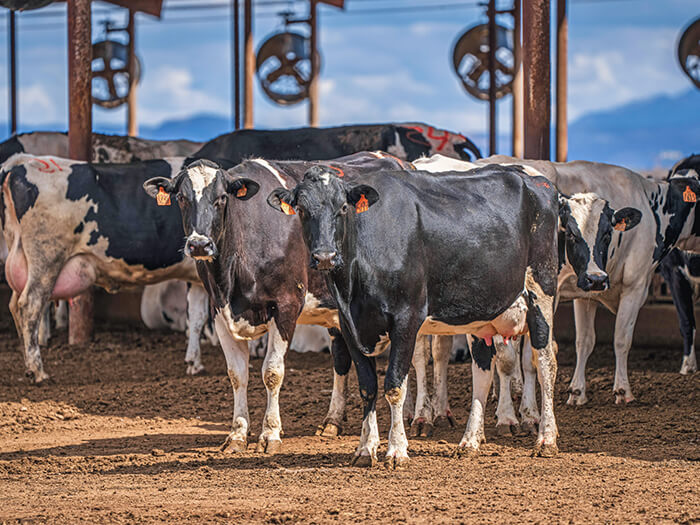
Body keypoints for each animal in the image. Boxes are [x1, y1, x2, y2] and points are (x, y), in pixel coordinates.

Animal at [268, 164, 564, 462]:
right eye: (302, 209)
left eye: (342, 207)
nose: (325, 256)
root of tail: (535, 180)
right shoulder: (348, 323)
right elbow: (367, 387)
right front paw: (365, 449)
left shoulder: (406, 318)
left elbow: (395, 386)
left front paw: (396, 450)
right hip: (482, 313)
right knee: (482, 369)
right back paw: (469, 442)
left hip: (541, 291)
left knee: (546, 362)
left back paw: (546, 439)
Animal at [476, 154, 700, 404]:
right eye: (571, 233)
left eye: (608, 233)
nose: (597, 279)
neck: (653, 206)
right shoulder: (636, 284)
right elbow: (622, 338)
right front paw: (623, 390)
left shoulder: (587, 293)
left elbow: (584, 341)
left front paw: (577, 392)